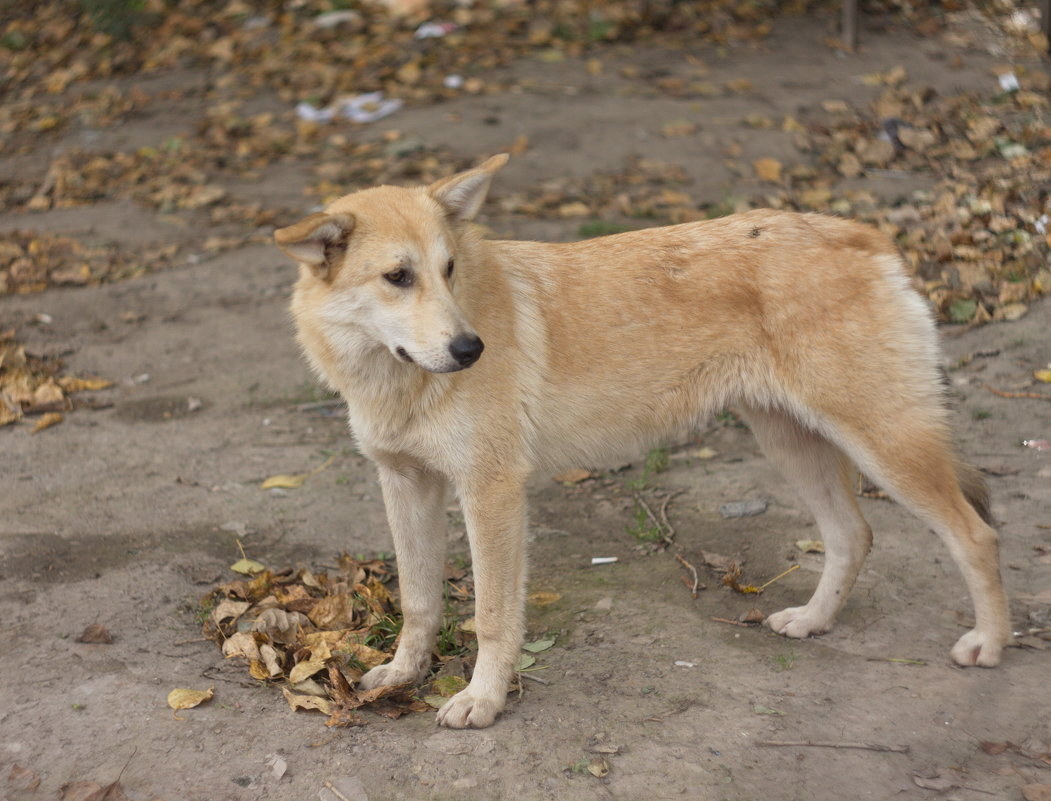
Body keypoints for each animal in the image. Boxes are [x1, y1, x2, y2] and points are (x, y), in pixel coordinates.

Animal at [275, 152, 1013, 727]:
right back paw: (812, 621)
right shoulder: (407, 486)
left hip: (884, 445)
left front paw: (483, 700)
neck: (392, 379)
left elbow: (491, 616)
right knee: (852, 535)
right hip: (792, 444)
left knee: (975, 535)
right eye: (398, 276)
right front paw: (403, 675)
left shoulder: (490, 493)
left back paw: (989, 643)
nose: (470, 349)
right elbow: (419, 599)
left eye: (449, 268)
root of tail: (860, 231)